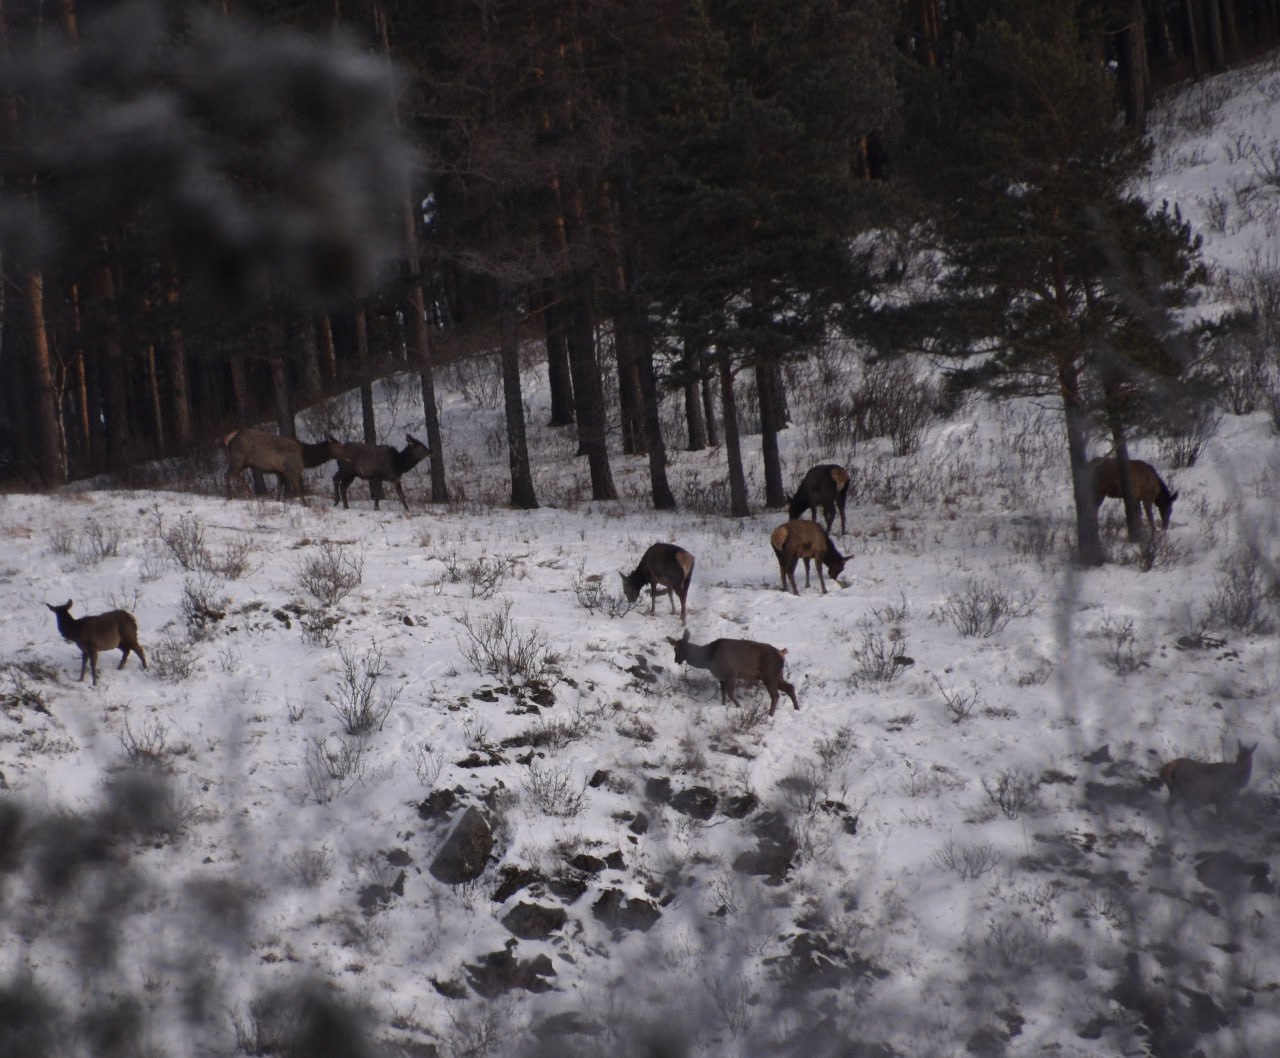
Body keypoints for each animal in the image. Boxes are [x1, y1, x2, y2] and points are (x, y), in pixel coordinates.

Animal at [665, 631, 793, 716]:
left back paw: (770, 714)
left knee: (776, 695)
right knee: (790, 687)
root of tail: (781, 653)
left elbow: (730, 693)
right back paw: (795, 708)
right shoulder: (721, 677)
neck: (709, 658)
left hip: (769, 674)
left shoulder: (732, 673)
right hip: (777, 674)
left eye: (676, 649)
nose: (676, 660)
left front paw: (739, 707)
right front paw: (723, 705)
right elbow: (723, 693)